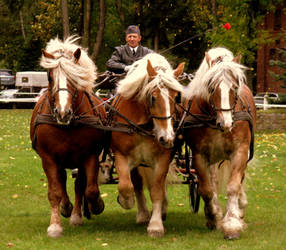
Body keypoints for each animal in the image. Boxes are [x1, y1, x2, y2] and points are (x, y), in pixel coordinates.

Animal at [30, 35, 106, 238]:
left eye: (75, 76)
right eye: (50, 77)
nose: (63, 113)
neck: (67, 126)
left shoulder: (89, 155)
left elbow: (89, 189)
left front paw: (95, 206)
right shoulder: (48, 158)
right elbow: (55, 191)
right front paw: (55, 225)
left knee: (79, 184)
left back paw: (77, 214)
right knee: (62, 179)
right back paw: (66, 207)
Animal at [109, 52, 183, 236]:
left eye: (176, 97)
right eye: (153, 97)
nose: (167, 138)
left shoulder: (163, 158)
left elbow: (156, 190)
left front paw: (155, 225)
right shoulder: (121, 154)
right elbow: (126, 185)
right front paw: (126, 201)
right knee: (136, 183)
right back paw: (142, 213)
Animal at [181, 47, 256, 240]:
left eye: (234, 87)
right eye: (211, 87)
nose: (226, 123)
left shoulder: (240, 151)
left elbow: (233, 186)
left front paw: (232, 224)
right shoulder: (199, 155)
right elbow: (206, 189)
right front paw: (213, 216)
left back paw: (240, 207)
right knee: (213, 181)